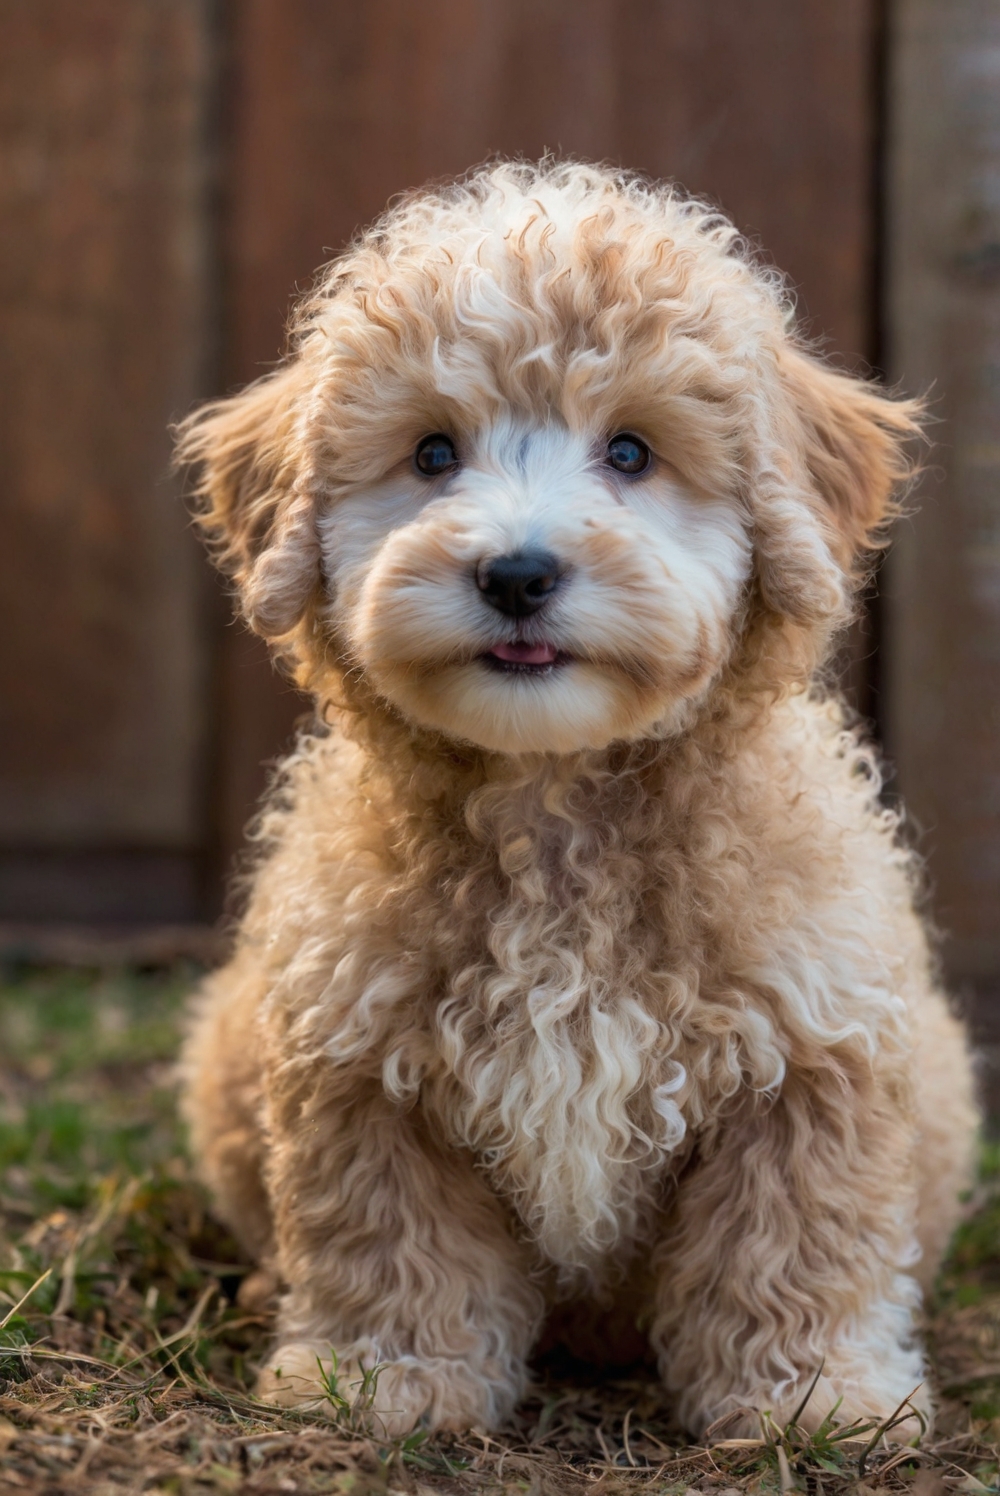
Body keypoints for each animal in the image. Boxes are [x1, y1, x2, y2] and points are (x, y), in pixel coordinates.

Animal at [177, 160, 976, 1436]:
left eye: (633, 453)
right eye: (433, 454)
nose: (516, 572)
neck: (553, 808)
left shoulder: (812, 1047)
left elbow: (796, 1232)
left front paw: (814, 1395)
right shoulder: (359, 1057)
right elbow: (388, 1232)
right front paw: (388, 1376)